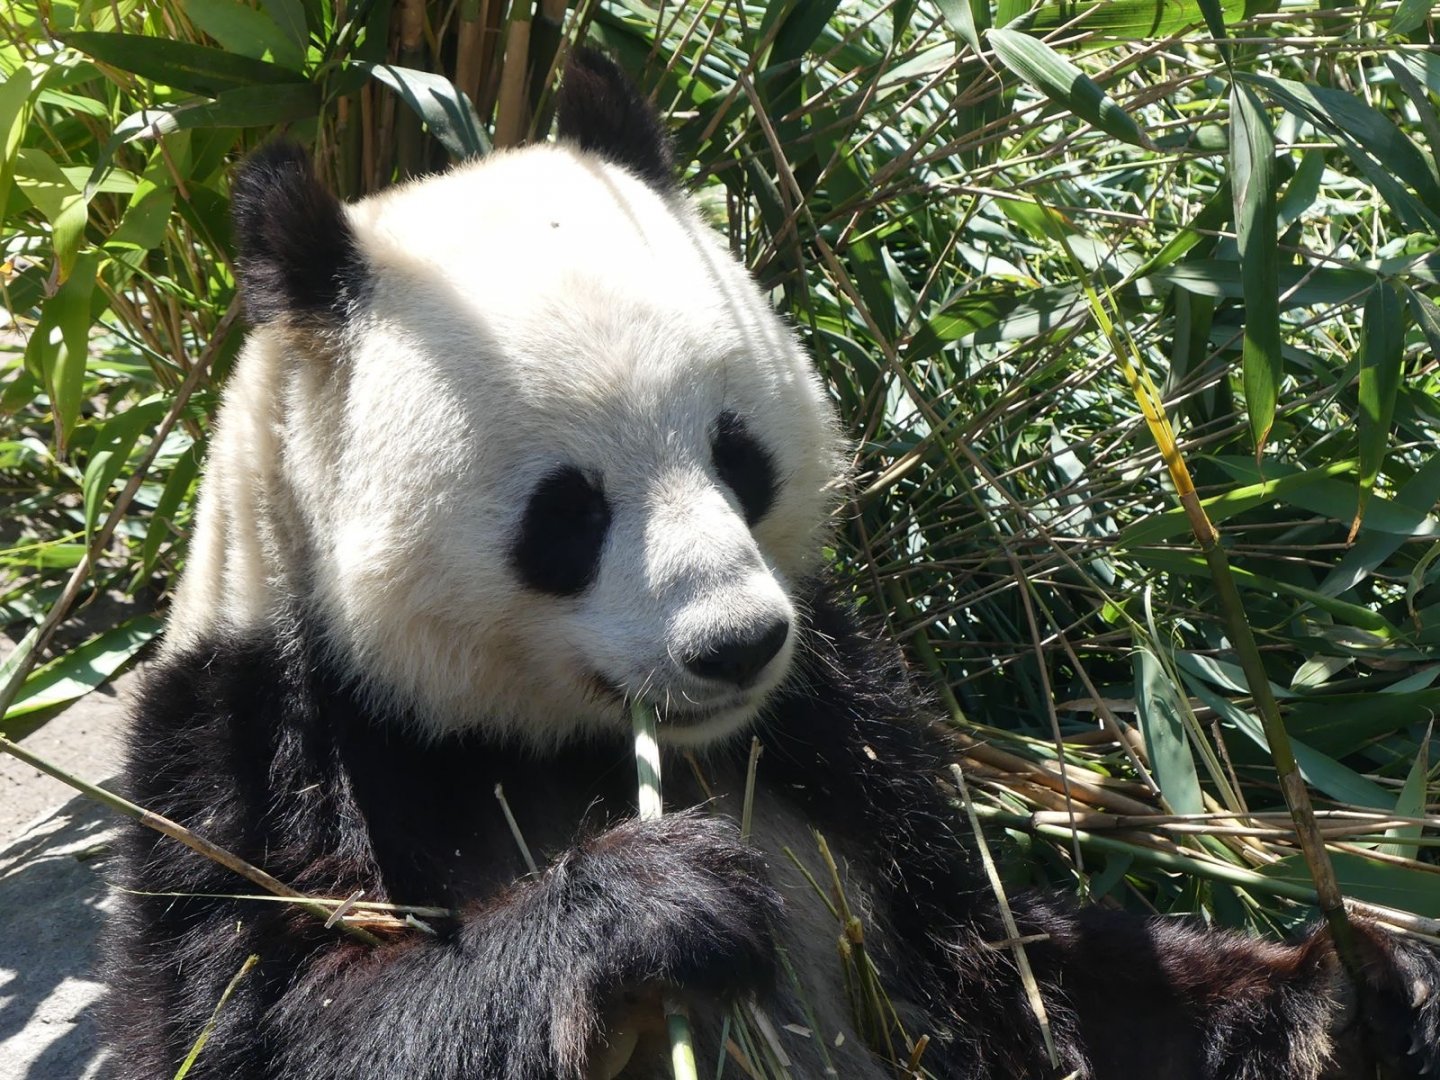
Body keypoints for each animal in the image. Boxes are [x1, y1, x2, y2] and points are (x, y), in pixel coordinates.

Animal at [103, 48, 1439, 1080]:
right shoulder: (260, 745)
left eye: (737, 454)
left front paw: (1361, 993)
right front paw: (660, 905)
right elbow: (261, 1027)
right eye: (567, 512)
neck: (558, 742)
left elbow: (1029, 969)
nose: (736, 644)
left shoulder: (845, 721)